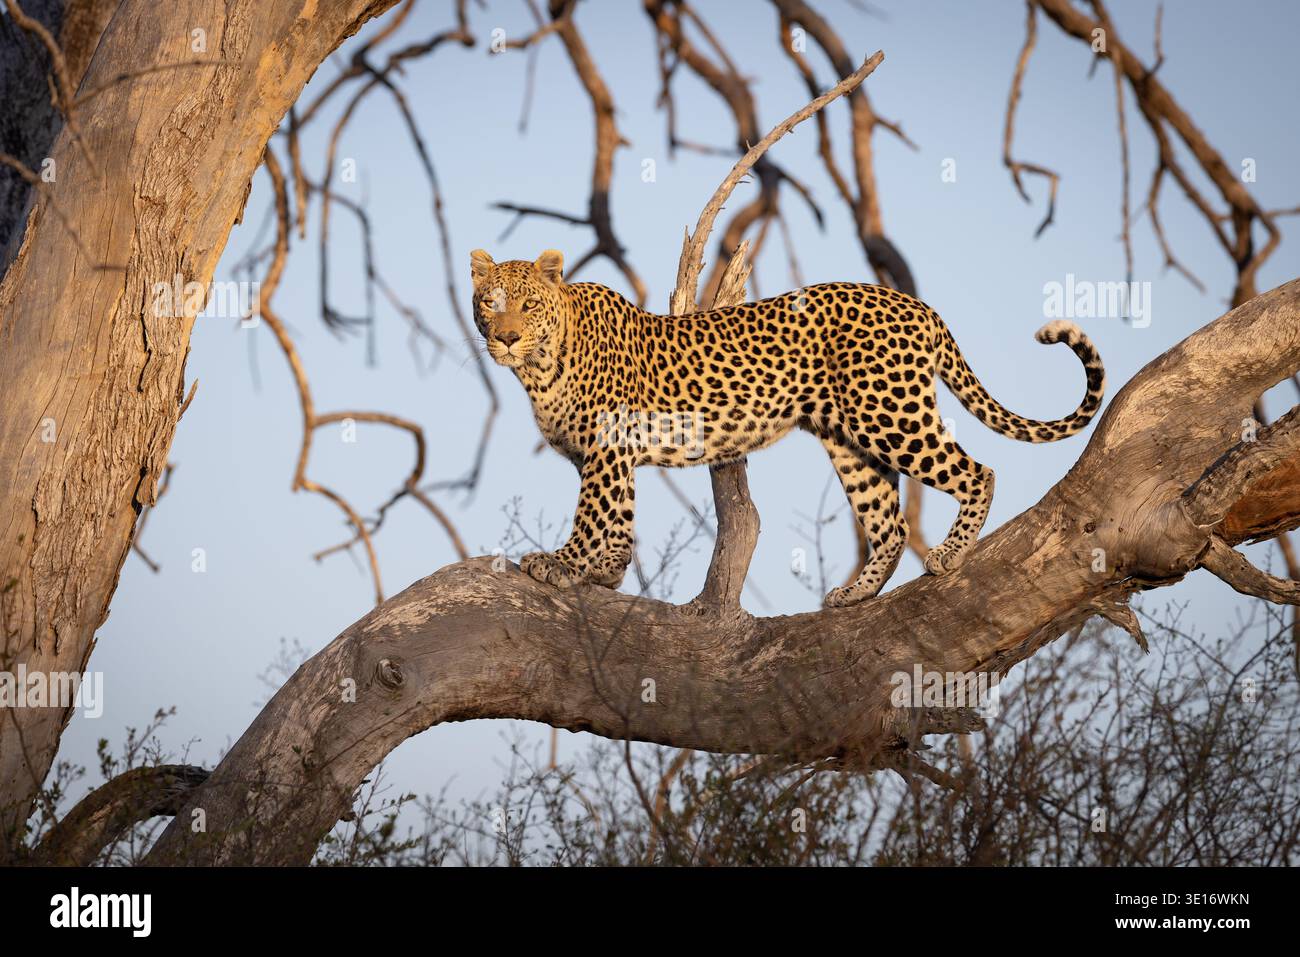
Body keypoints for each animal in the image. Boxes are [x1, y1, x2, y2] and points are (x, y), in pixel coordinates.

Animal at [470, 248, 1105, 607]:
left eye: (527, 306)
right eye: (489, 303)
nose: (505, 338)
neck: (539, 367)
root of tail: (916, 304)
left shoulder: (606, 447)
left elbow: (591, 512)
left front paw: (562, 563)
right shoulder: (613, 454)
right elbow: (620, 515)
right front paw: (606, 572)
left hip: (890, 413)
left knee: (978, 471)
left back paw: (950, 553)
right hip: (849, 439)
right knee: (891, 522)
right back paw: (856, 593)